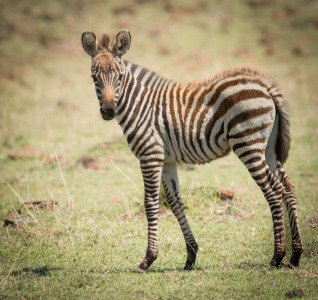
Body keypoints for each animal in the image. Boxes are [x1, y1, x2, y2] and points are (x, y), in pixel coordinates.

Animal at [81, 29, 304, 270]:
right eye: (94, 77)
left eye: (120, 77)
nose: (108, 111)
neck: (140, 105)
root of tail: (265, 85)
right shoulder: (167, 160)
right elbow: (175, 203)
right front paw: (191, 255)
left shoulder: (150, 155)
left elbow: (150, 203)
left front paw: (148, 259)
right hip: (268, 148)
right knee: (287, 186)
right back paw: (295, 255)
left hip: (248, 144)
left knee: (273, 191)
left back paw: (277, 256)